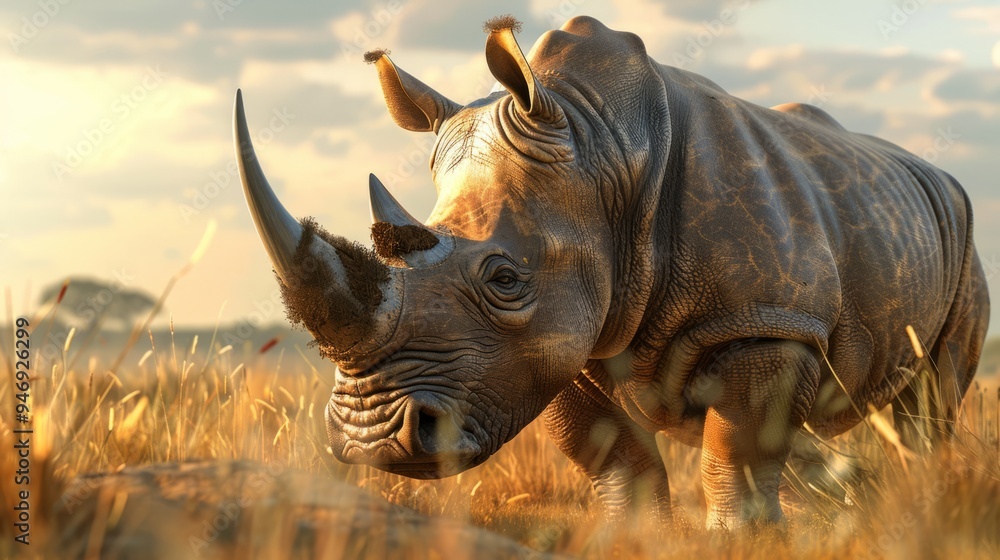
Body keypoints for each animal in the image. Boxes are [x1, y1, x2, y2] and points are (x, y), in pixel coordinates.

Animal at [233, 16, 990, 528]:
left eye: (505, 280)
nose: (373, 441)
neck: (606, 149)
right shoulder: (560, 343)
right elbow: (614, 458)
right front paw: (639, 536)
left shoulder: (768, 322)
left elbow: (738, 451)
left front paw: (742, 537)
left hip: (963, 237)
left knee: (929, 404)